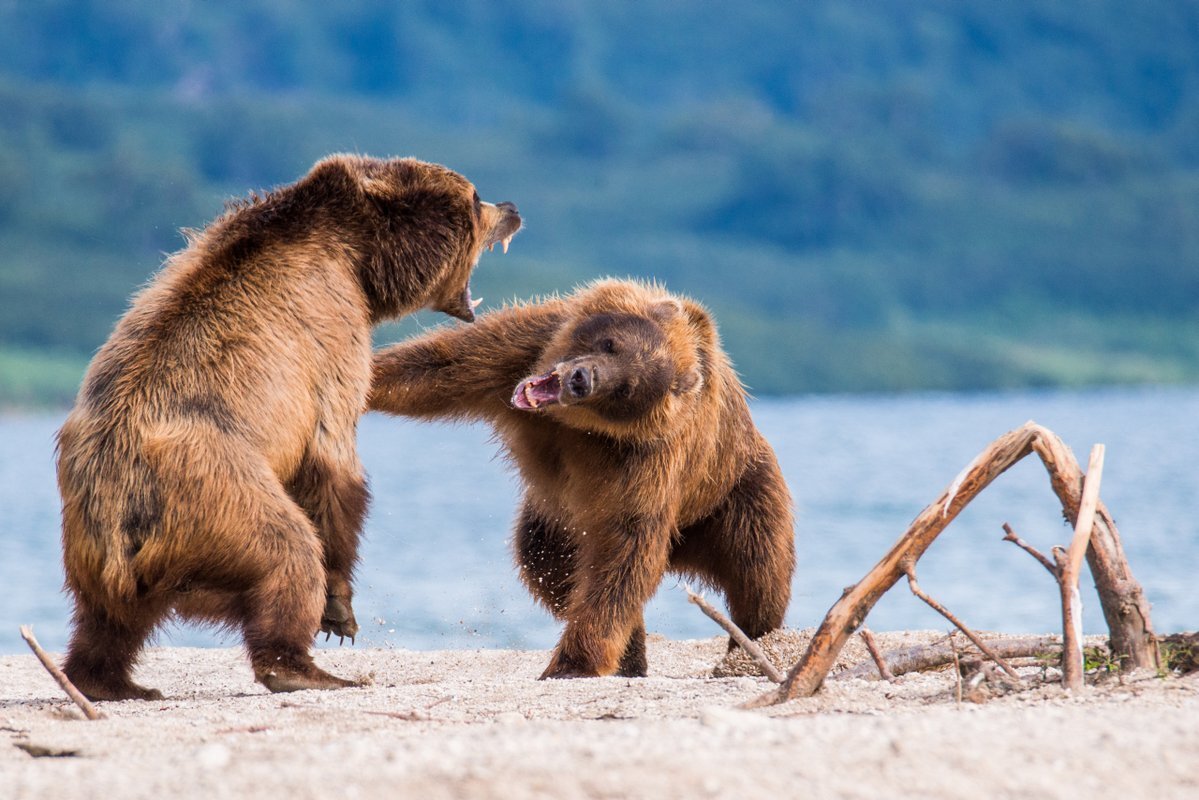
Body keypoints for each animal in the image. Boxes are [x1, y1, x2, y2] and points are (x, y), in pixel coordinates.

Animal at [57, 153, 520, 695]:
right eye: (475, 197)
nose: (512, 208)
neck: (359, 257)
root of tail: (120, 519)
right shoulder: (331, 330)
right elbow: (332, 460)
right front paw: (340, 612)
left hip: (87, 541)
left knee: (106, 622)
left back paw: (112, 682)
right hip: (217, 494)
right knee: (287, 552)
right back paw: (306, 670)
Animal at [369, 278, 791, 681]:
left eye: (626, 389)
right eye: (610, 343)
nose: (580, 378)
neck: (576, 425)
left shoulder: (648, 461)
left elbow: (624, 549)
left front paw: (573, 663)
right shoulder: (522, 348)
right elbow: (439, 366)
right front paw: (368, 382)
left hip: (735, 494)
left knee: (759, 572)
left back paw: (752, 651)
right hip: (556, 525)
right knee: (545, 566)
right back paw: (633, 654)